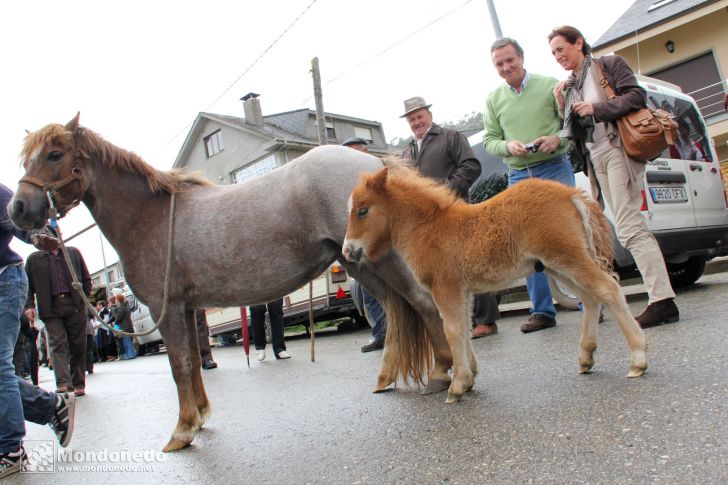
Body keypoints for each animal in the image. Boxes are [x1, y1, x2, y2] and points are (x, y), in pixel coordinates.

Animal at [9, 115, 456, 452]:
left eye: (54, 154)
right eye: (27, 157)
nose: (18, 209)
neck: (152, 218)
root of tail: (372, 168)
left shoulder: (166, 310)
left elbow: (179, 366)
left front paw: (182, 431)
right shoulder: (187, 310)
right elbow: (194, 364)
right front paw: (201, 417)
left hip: (381, 261)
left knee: (421, 303)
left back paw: (443, 374)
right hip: (358, 261)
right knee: (397, 312)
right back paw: (387, 379)